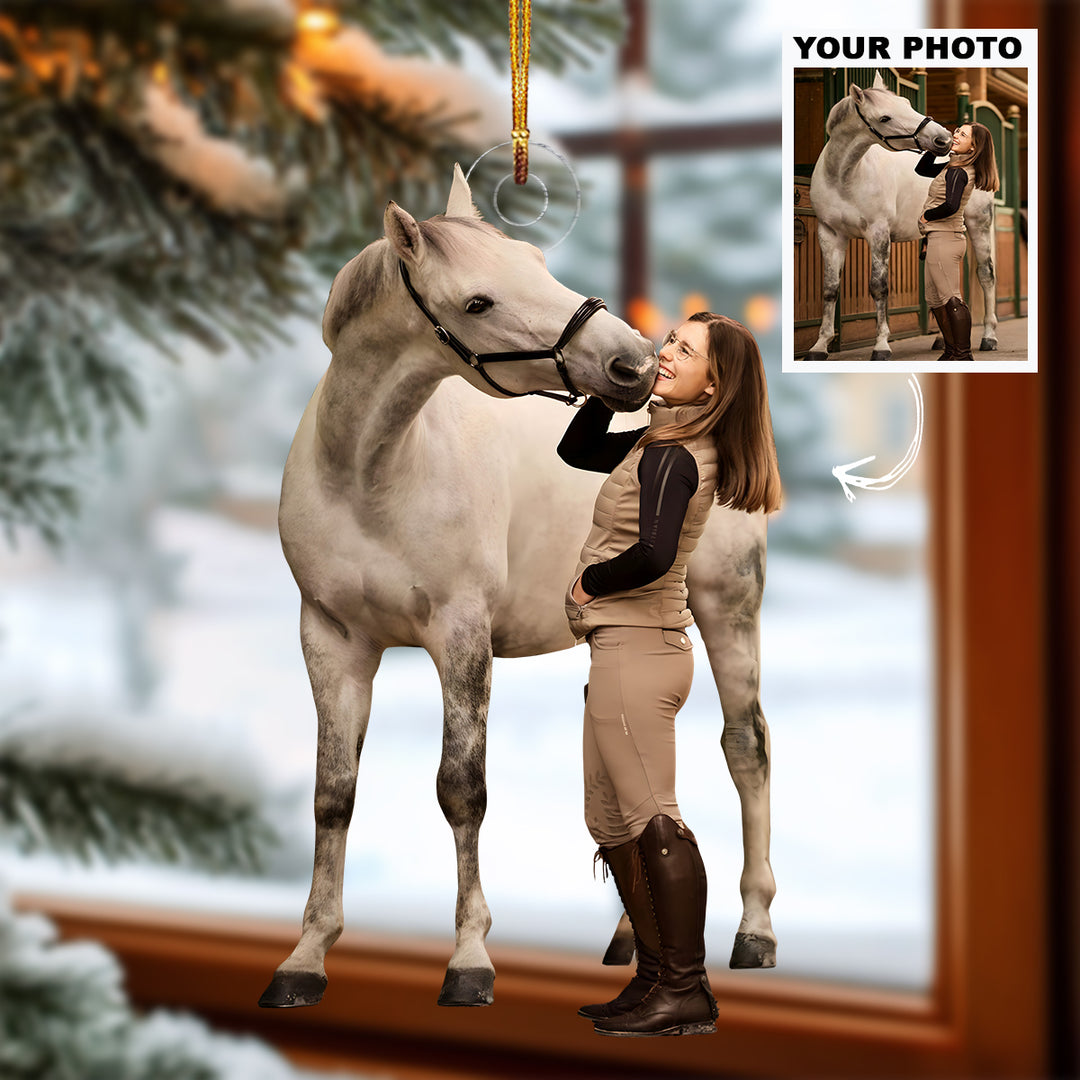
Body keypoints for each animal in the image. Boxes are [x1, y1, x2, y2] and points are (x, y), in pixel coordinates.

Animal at [257, 165, 777, 1010]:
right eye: (478, 302)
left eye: (536, 265)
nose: (633, 363)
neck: (372, 473)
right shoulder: (331, 637)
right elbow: (333, 792)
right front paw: (305, 957)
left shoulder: (461, 633)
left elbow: (461, 788)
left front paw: (469, 959)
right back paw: (632, 940)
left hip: (729, 607)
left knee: (747, 747)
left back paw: (755, 931)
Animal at [805, 72, 998, 361]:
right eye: (885, 118)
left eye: (906, 103)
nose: (943, 139)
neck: (844, 177)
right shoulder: (829, 234)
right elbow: (829, 289)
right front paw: (820, 346)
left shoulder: (878, 232)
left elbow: (879, 286)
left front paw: (881, 346)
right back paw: (941, 340)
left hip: (979, 226)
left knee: (986, 276)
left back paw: (989, 337)